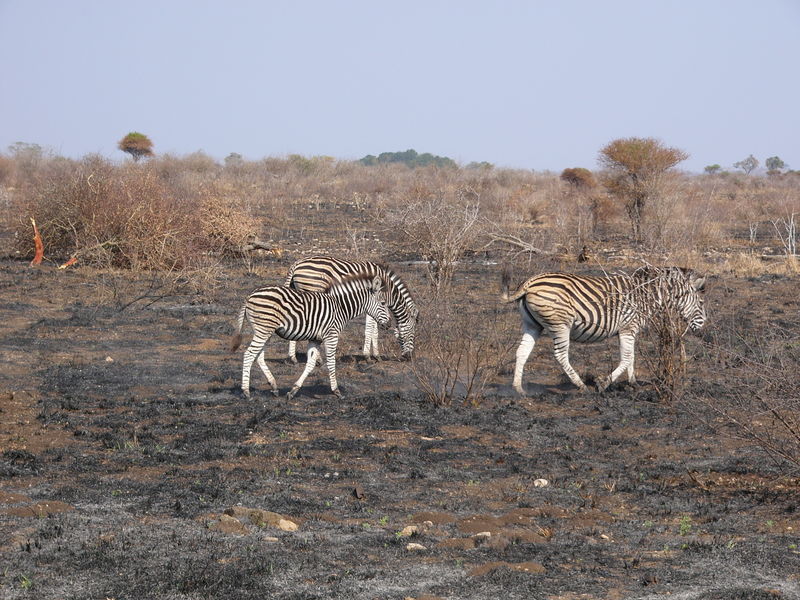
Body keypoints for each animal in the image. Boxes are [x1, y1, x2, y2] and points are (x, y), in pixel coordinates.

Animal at [230, 274, 392, 400]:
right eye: (383, 303)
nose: (389, 325)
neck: (341, 307)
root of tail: (250, 295)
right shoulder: (331, 336)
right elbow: (331, 363)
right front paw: (336, 391)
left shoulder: (315, 339)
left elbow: (310, 364)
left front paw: (293, 391)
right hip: (264, 329)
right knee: (249, 354)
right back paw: (246, 391)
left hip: (265, 331)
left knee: (258, 356)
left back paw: (274, 386)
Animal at [282, 254, 418, 360]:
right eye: (412, 334)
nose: (409, 357)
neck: (388, 289)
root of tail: (297, 264)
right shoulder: (373, 303)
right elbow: (370, 329)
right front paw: (368, 355)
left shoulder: (372, 305)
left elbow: (374, 329)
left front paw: (376, 355)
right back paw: (317, 359)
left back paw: (293, 357)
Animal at [500, 268, 708, 394]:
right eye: (701, 302)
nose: (703, 329)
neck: (646, 296)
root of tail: (529, 283)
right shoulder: (628, 328)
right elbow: (626, 358)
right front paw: (604, 383)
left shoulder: (629, 331)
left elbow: (631, 357)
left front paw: (633, 383)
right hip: (560, 324)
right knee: (560, 355)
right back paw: (581, 385)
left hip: (533, 324)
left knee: (522, 352)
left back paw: (518, 388)